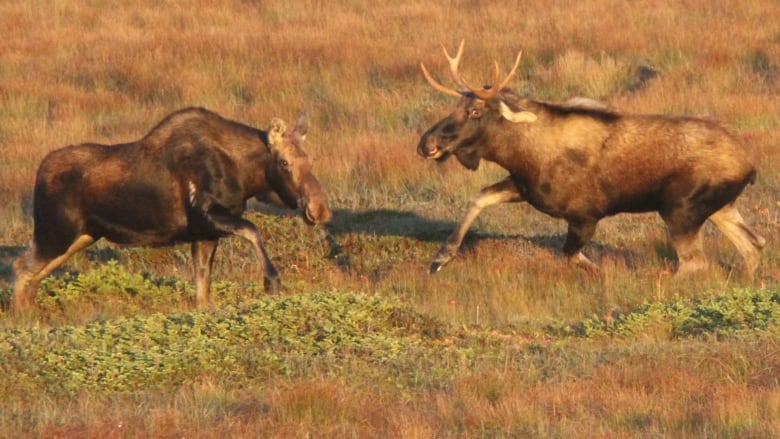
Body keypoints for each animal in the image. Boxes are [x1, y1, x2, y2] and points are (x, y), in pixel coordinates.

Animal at [12, 108, 330, 312]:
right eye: (285, 162)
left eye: (311, 159)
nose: (319, 208)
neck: (246, 177)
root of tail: (39, 173)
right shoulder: (206, 215)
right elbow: (253, 230)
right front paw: (272, 281)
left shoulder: (204, 233)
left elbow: (202, 289)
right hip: (56, 232)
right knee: (22, 267)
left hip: (82, 236)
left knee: (33, 272)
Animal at [418, 43, 764, 280]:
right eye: (455, 106)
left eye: (475, 111)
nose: (427, 144)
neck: (520, 155)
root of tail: (751, 166)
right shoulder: (523, 188)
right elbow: (480, 197)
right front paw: (440, 258)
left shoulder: (585, 215)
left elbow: (571, 255)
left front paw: (605, 274)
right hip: (720, 208)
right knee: (754, 244)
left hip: (680, 210)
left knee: (696, 262)